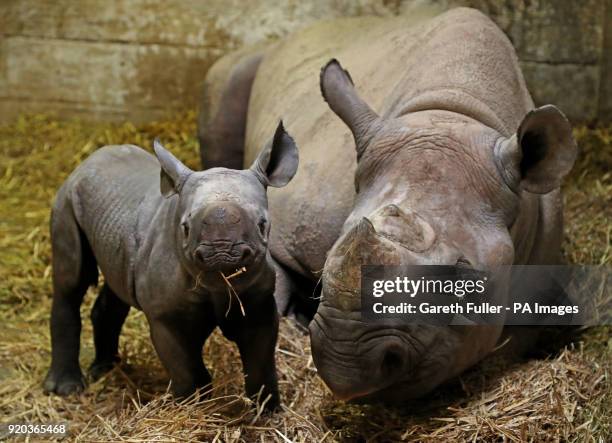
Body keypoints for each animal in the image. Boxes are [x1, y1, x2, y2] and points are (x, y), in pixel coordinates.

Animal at [42, 122, 296, 412]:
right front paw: (190, 407)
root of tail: (87, 160)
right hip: (65, 200)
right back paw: (67, 389)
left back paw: (107, 370)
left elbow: (260, 361)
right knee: (72, 281)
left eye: (262, 224)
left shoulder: (258, 304)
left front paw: (268, 411)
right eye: (185, 228)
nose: (221, 252)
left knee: (118, 284)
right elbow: (186, 367)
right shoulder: (165, 316)